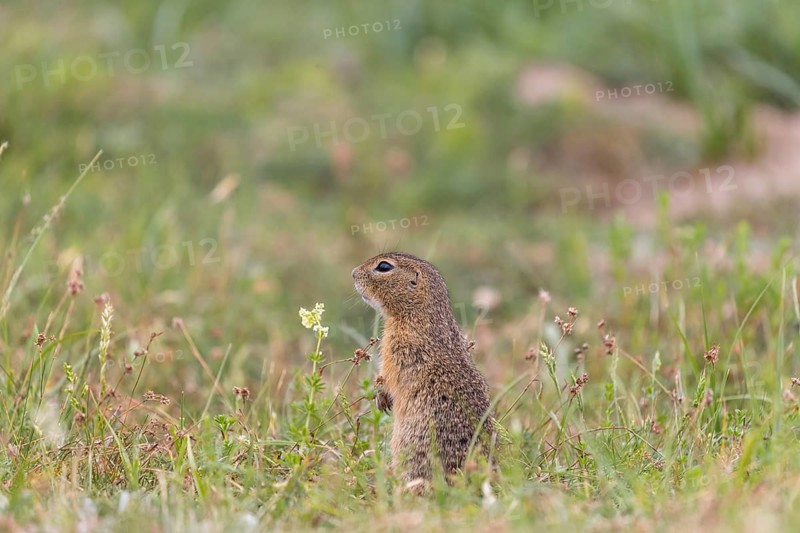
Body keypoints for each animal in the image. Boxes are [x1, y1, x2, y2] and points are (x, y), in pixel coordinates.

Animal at [352, 252, 495, 489]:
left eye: (384, 267)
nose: (353, 273)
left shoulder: (399, 351)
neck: (418, 315)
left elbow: (389, 376)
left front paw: (381, 398)